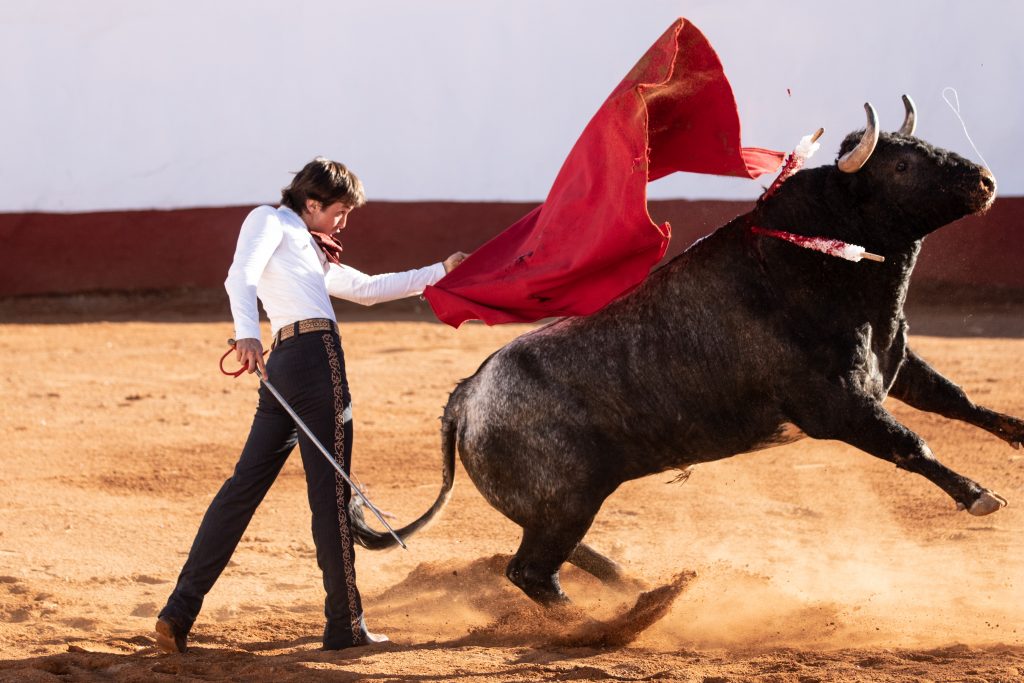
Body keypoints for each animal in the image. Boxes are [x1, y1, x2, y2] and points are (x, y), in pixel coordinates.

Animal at [350, 98, 1015, 606]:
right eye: (902, 163)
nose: (986, 182)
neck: (818, 260)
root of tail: (465, 396)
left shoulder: (891, 366)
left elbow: (958, 401)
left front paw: (1018, 437)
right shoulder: (838, 407)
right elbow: (910, 443)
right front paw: (980, 496)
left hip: (553, 505)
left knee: (556, 556)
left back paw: (632, 587)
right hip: (567, 499)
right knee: (532, 571)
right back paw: (607, 621)